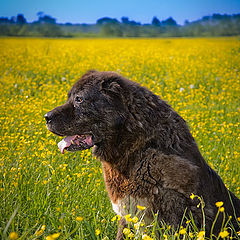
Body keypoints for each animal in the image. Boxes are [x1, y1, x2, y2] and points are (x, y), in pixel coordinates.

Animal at [45, 70, 240, 239]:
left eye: (79, 99)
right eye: (70, 97)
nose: (46, 117)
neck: (140, 147)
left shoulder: (171, 219)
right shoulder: (127, 215)